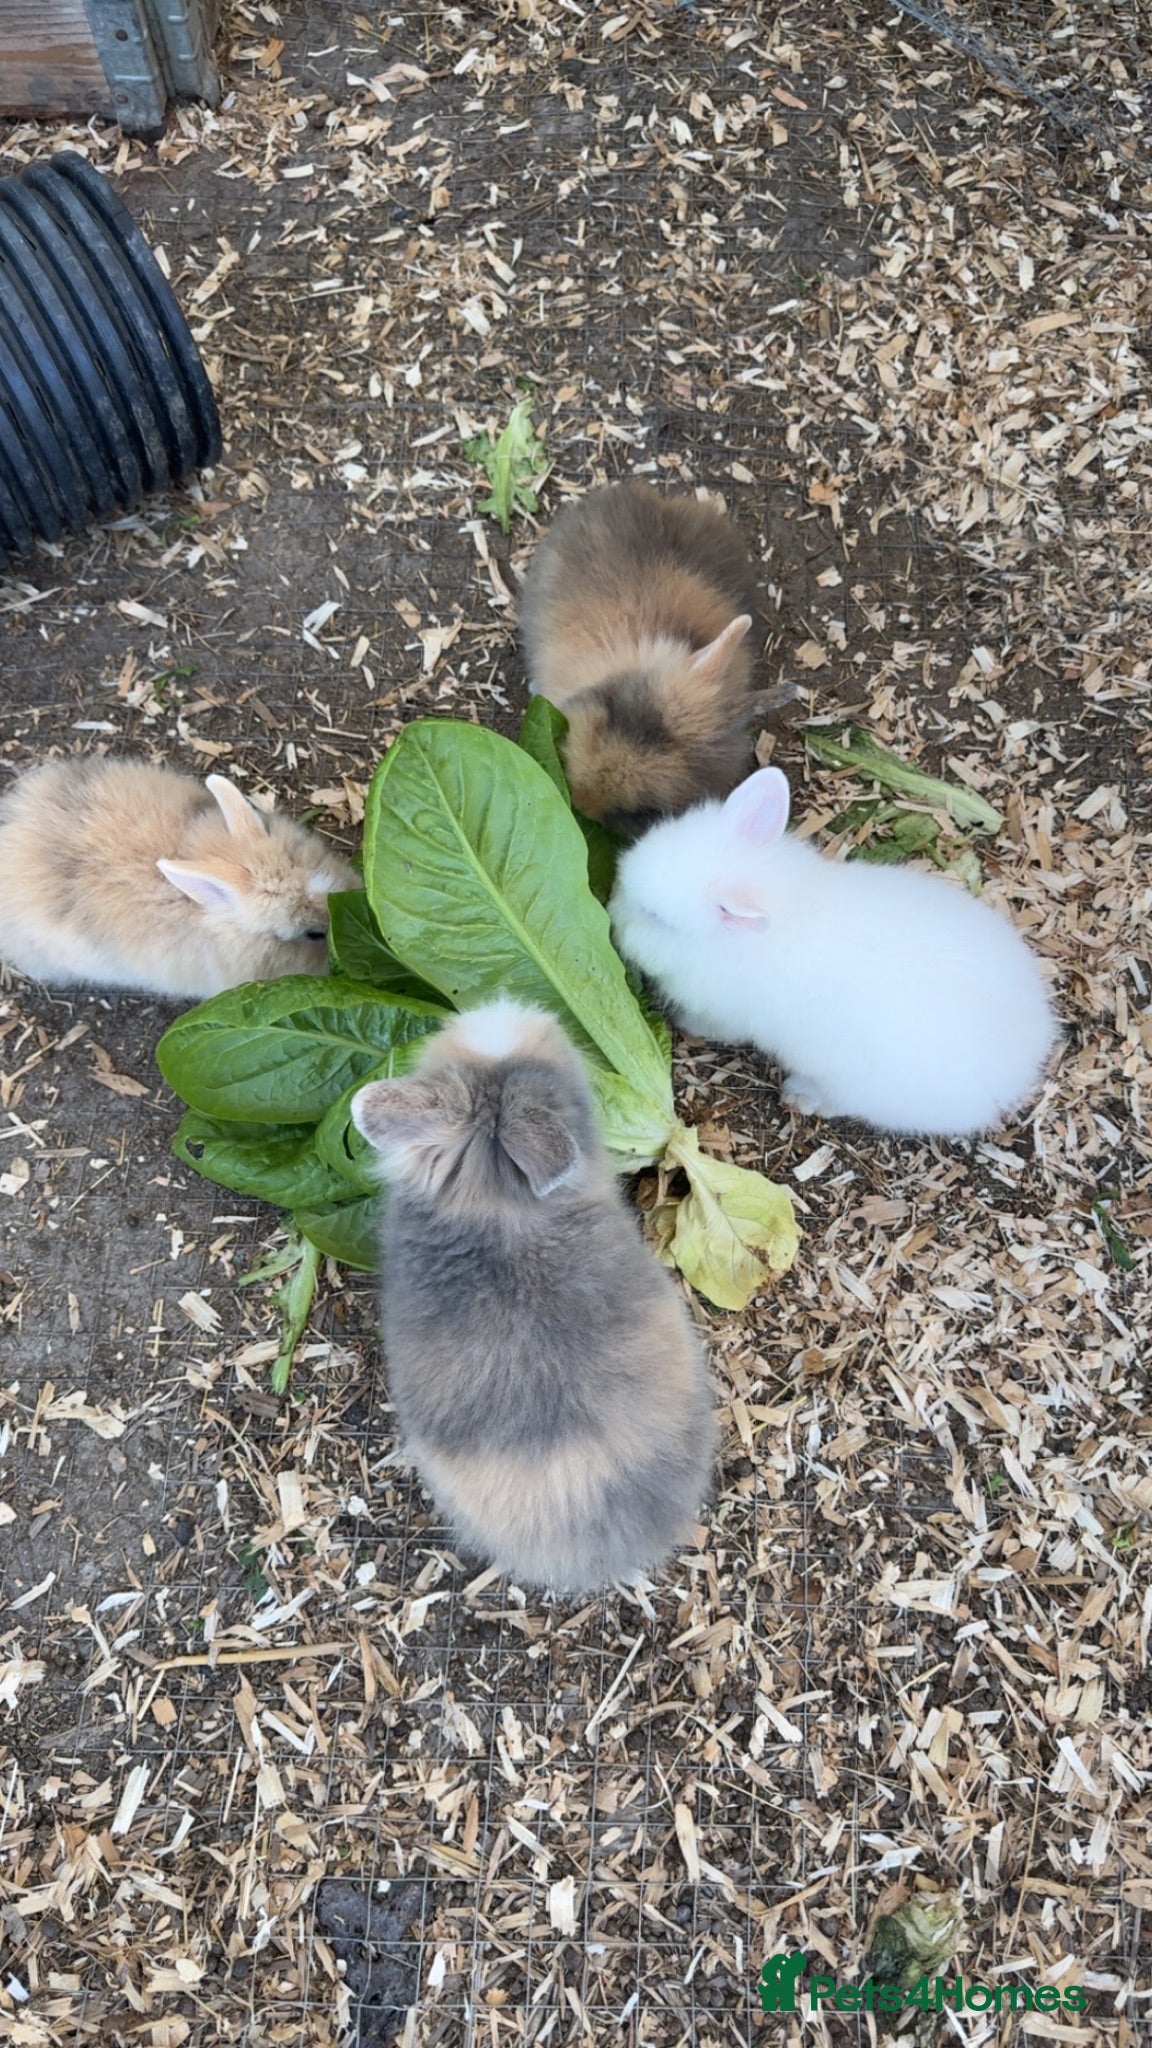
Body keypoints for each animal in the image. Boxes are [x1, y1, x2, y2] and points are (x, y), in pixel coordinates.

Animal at [610, 767, 1058, 1139]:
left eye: (655, 918)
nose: (611, 913)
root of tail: (1023, 1063)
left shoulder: (726, 1014)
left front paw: (686, 1025)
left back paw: (801, 1096)